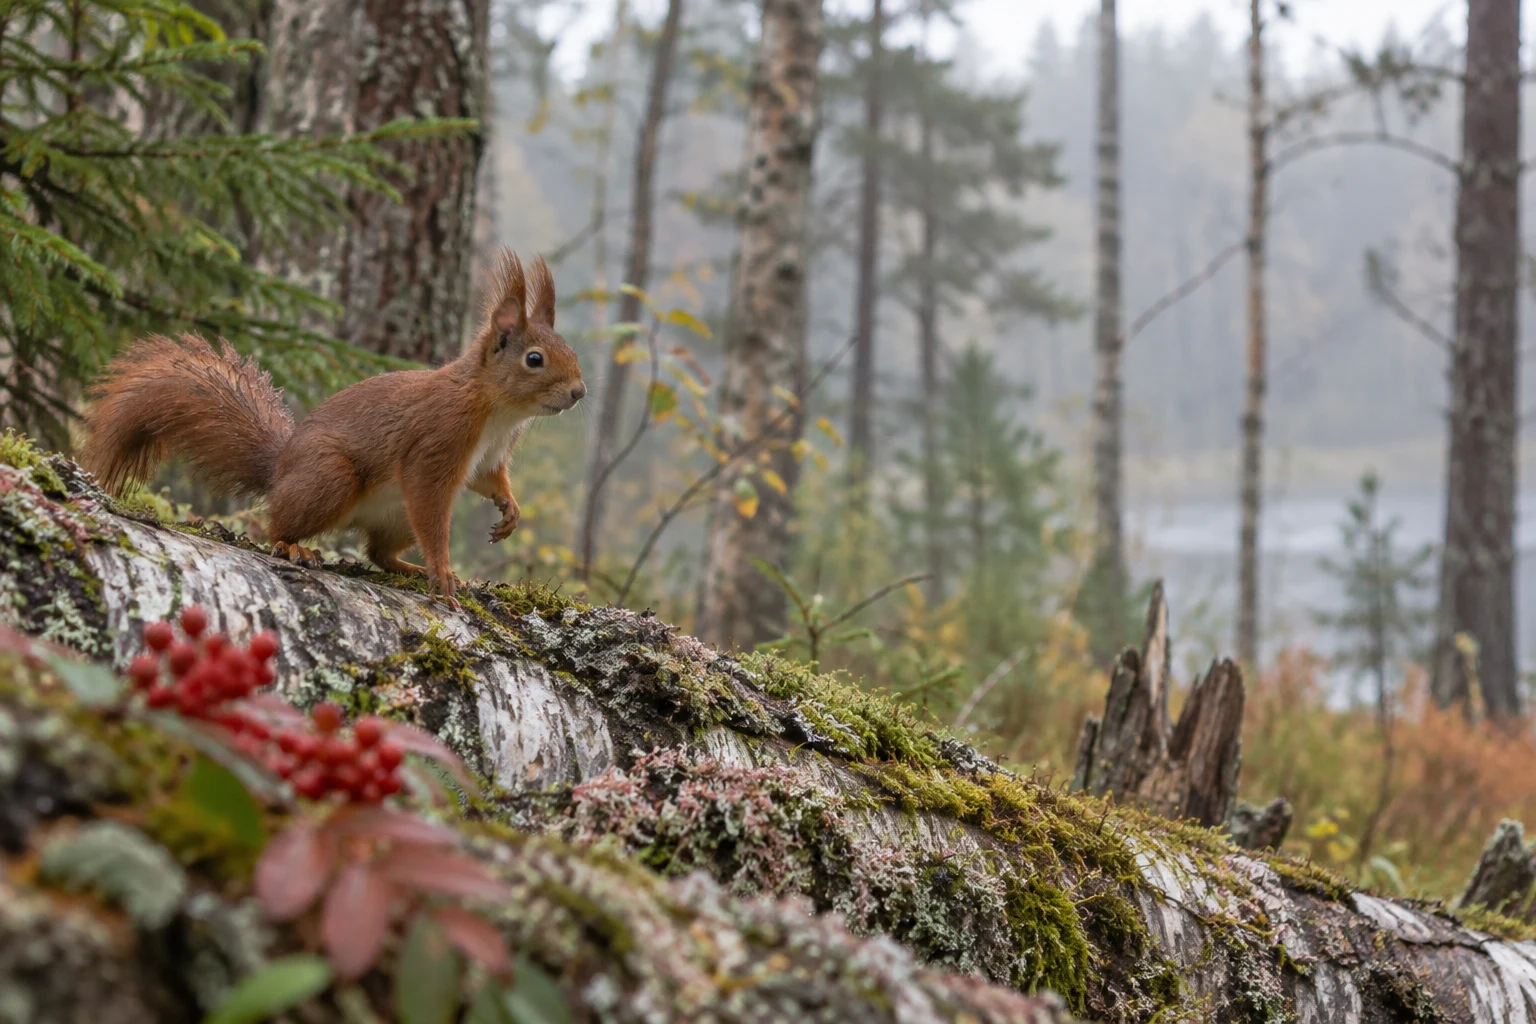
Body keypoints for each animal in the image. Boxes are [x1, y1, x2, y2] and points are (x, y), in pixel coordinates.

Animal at [78, 249, 586, 607]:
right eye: (535, 359)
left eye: (569, 350)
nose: (580, 392)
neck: (497, 410)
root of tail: (280, 470)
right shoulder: (437, 444)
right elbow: (432, 510)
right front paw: (441, 569)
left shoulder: (491, 454)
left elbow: (489, 480)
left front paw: (509, 511)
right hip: (330, 479)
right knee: (278, 523)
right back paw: (294, 547)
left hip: (394, 517)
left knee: (377, 553)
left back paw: (407, 567)